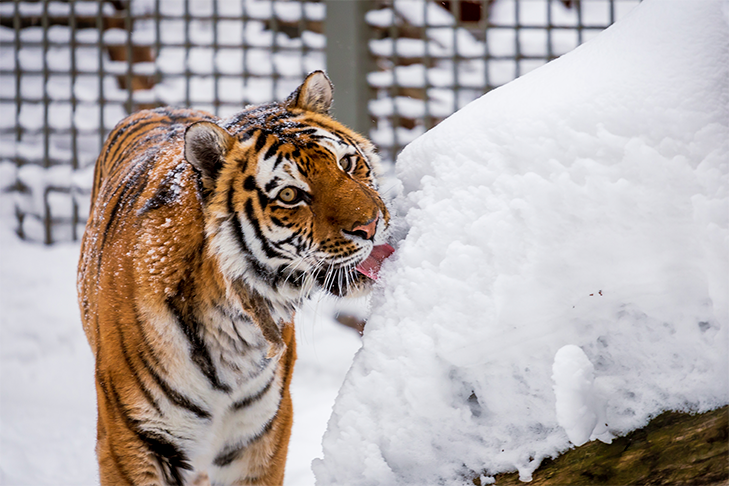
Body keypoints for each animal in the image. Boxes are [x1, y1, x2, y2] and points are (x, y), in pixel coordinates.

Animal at [77, 69, 390, 486]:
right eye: (289, 195)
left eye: (348, 163)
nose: (371, 226)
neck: (232, 323)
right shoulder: (130, 441)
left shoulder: (260, 435)